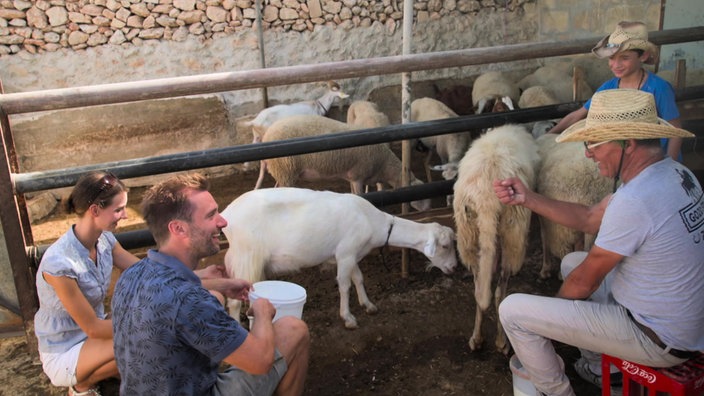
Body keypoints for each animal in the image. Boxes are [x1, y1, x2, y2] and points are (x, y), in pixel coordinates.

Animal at [223, 187, 460, 330]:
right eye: (445, 246)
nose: (454, 268)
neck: (372, 221)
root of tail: (226, 215)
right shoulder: (345, 253)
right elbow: (345, 285)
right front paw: (348, 317)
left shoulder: (351, 254)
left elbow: (359, 278)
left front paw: (368, 304)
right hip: (247, 255)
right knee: (233, 301)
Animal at [260, 113, 432, 212]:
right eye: (420, 194)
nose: (428, 208)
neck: (385, 164)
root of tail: (266, 136)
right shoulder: (358, 176)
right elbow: (361, 196)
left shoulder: (351, 176)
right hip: (286, 169)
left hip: (282, 171)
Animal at [452, 124, 540, 352]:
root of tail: (486, 195)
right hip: (512, 233)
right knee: (501, 291)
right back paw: (502, 341)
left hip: (469, 234)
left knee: (479, 288)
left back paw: (476, 338)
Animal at [536, 135, 612, 280]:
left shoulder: (547, 220)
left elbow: (543, 237)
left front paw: (545, 268)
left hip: (562, 225)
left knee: (565, 250)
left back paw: (561, 274)